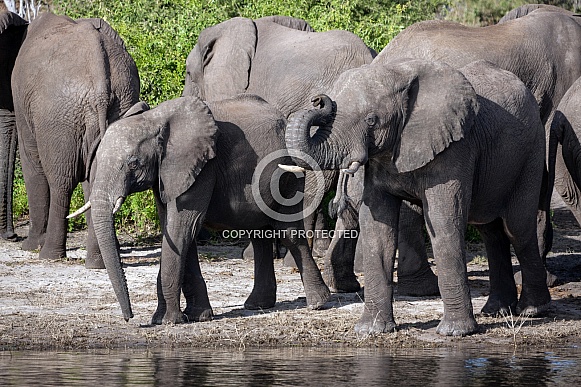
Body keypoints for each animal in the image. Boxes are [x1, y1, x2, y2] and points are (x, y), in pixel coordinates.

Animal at [10, 11, 140, 266]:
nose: (12, 238)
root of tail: (100, 86)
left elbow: (32, 161)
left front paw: (28, 247)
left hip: (57, 116)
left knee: (61, 181)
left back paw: (48, 255)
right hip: (119, 103)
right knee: (95, 180)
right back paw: (97, 263)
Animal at [74, 95, 330, 322]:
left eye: (133, 163)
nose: (130, 318)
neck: (155, 119)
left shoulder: (203, 167)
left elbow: (182, 227)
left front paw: (165, 321)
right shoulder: (167, 173)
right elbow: (176, 231)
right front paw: (198, 316)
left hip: (288, 175)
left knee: (288, 232)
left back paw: (318, 303)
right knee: (259, 234)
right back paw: (258, 305)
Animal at [284, 57, 552, 336]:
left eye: (371, 120)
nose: (319, 100)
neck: (400, 75)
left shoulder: (455, 148)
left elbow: (444, 223)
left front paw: (454, 332)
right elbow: (377, 229)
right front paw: (370, 331)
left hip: (532, 151)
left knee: (517, 228)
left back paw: (532, 310)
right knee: (491, 232)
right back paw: (496, 311)